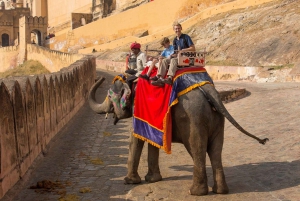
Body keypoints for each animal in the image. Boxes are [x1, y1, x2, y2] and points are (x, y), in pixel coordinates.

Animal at [88, 76, 268, 196]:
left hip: (193, 119)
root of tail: (210, 92)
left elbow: (136, 139)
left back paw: (196, 192)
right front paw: (153, 179)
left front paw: (129, 181)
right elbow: (152, 140)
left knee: (197, 149)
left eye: (109, 96)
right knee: (216, 151)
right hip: (217, 119)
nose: (100, 78)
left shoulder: (137, 110)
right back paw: (220, 191)